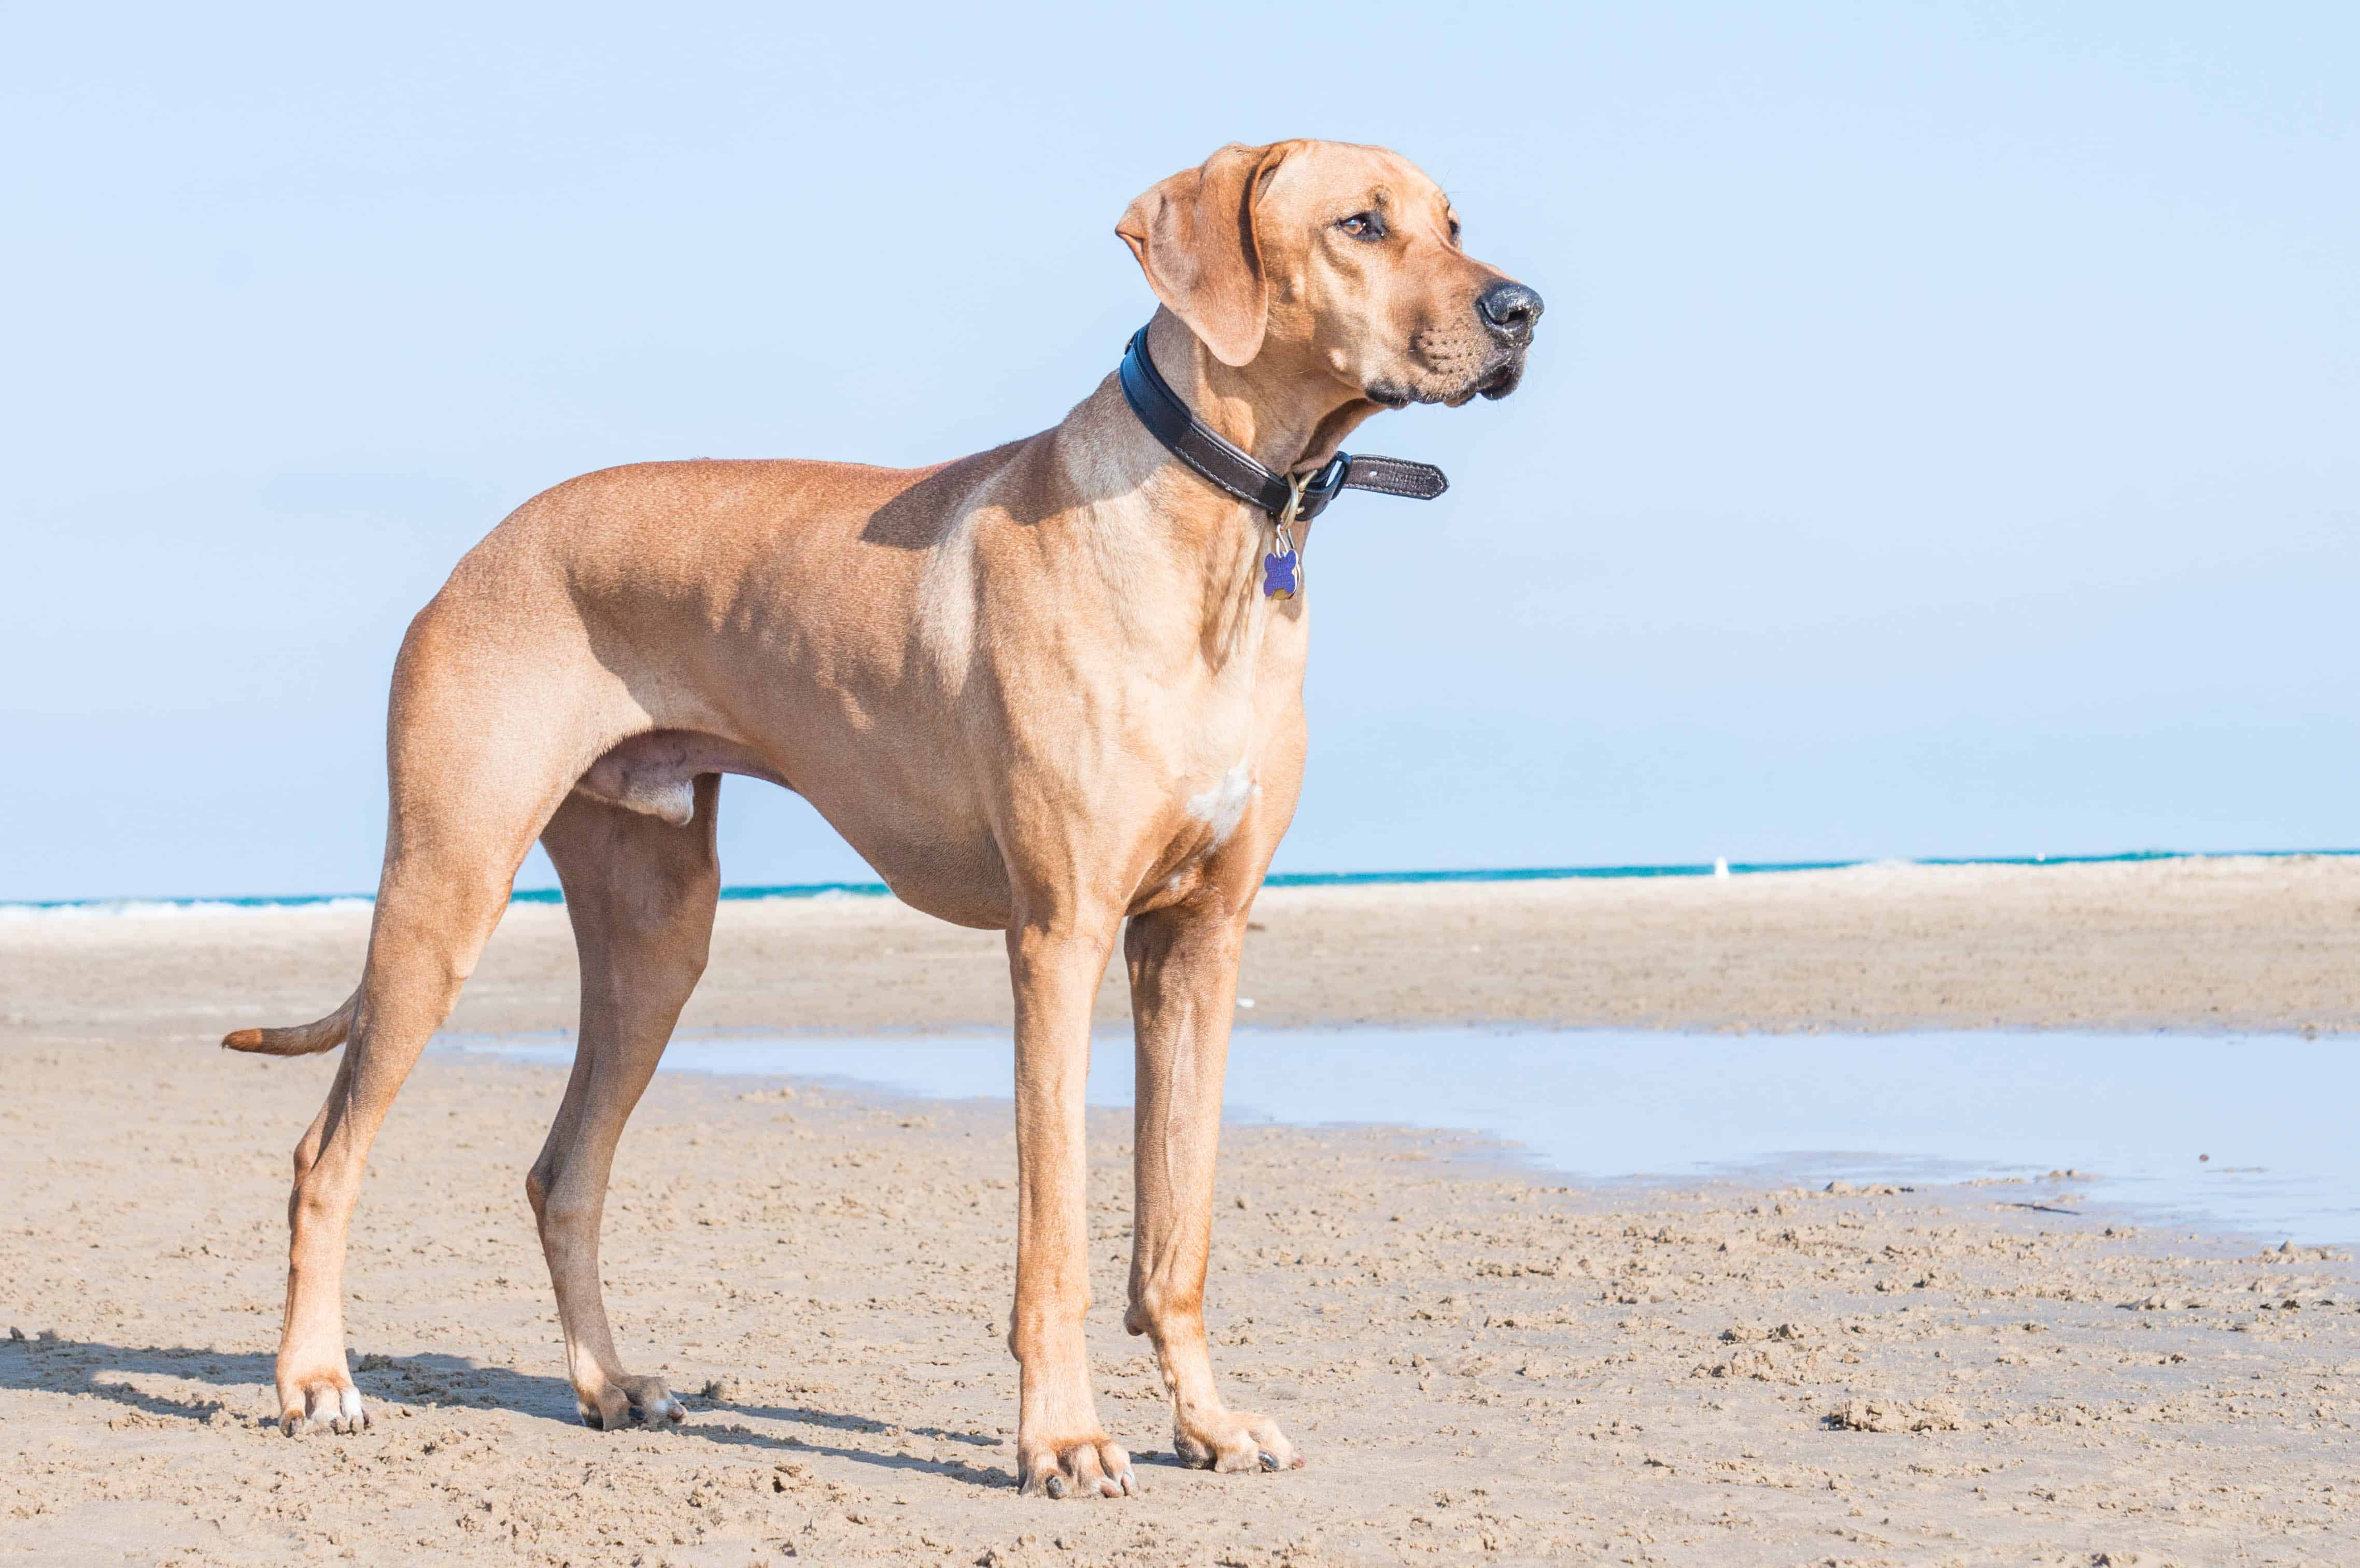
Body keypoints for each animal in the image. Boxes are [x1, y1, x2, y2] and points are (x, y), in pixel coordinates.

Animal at [230, 137, 1538, 1492]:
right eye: (1360, 224)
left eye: (1451, 222)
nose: (1522, 312)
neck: (1222, 526)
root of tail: (478, 552)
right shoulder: (1059, 939)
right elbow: (1055, 1238)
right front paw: (1062, 1439)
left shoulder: (1200, 943)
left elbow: (1176, 1233)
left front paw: (1209, 1425)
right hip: (446, 891)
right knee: (326, 1155)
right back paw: (314, 1381)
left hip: (656, 936)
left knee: (563, 1173)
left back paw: (607, 1384)